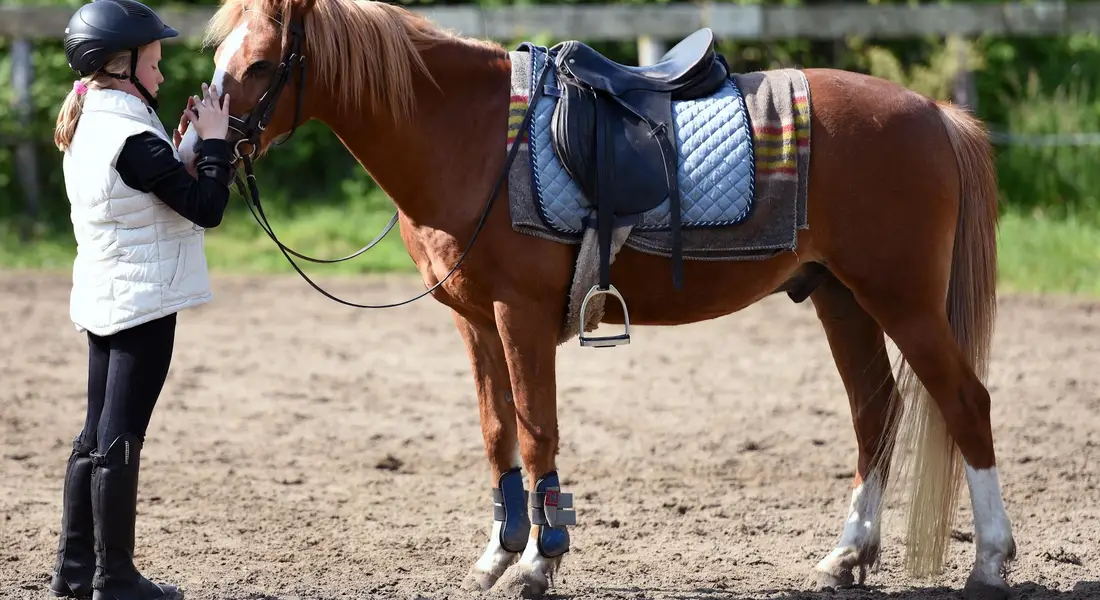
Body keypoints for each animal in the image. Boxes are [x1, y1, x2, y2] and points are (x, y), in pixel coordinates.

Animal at [178, 0, 1016, 597]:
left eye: (259, 64)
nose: (191, 152)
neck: (468, 135)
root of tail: (934, 114)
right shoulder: (474, 322)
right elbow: (497, 433)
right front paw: (497, 553)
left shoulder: (517, 315)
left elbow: (537, 431)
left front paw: (539, 562)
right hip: (841, 298)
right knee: (876, 413)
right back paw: (846, 555)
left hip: (903, 302)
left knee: (965, 402)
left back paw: (990, 561)